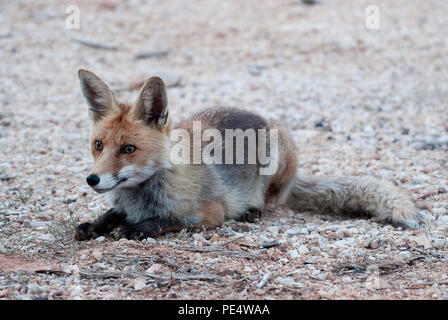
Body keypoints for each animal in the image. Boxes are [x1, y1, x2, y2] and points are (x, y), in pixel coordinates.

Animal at [75, 69, 422, 240]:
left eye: (128, 149)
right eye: (98, 145)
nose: (92, 179)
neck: (144, 196)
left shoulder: (208, 214)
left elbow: (165, 221)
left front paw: (135, 228)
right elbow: (111, 214)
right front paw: (96, 224)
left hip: (276, 150)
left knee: (273, 201)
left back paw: (251, 211)